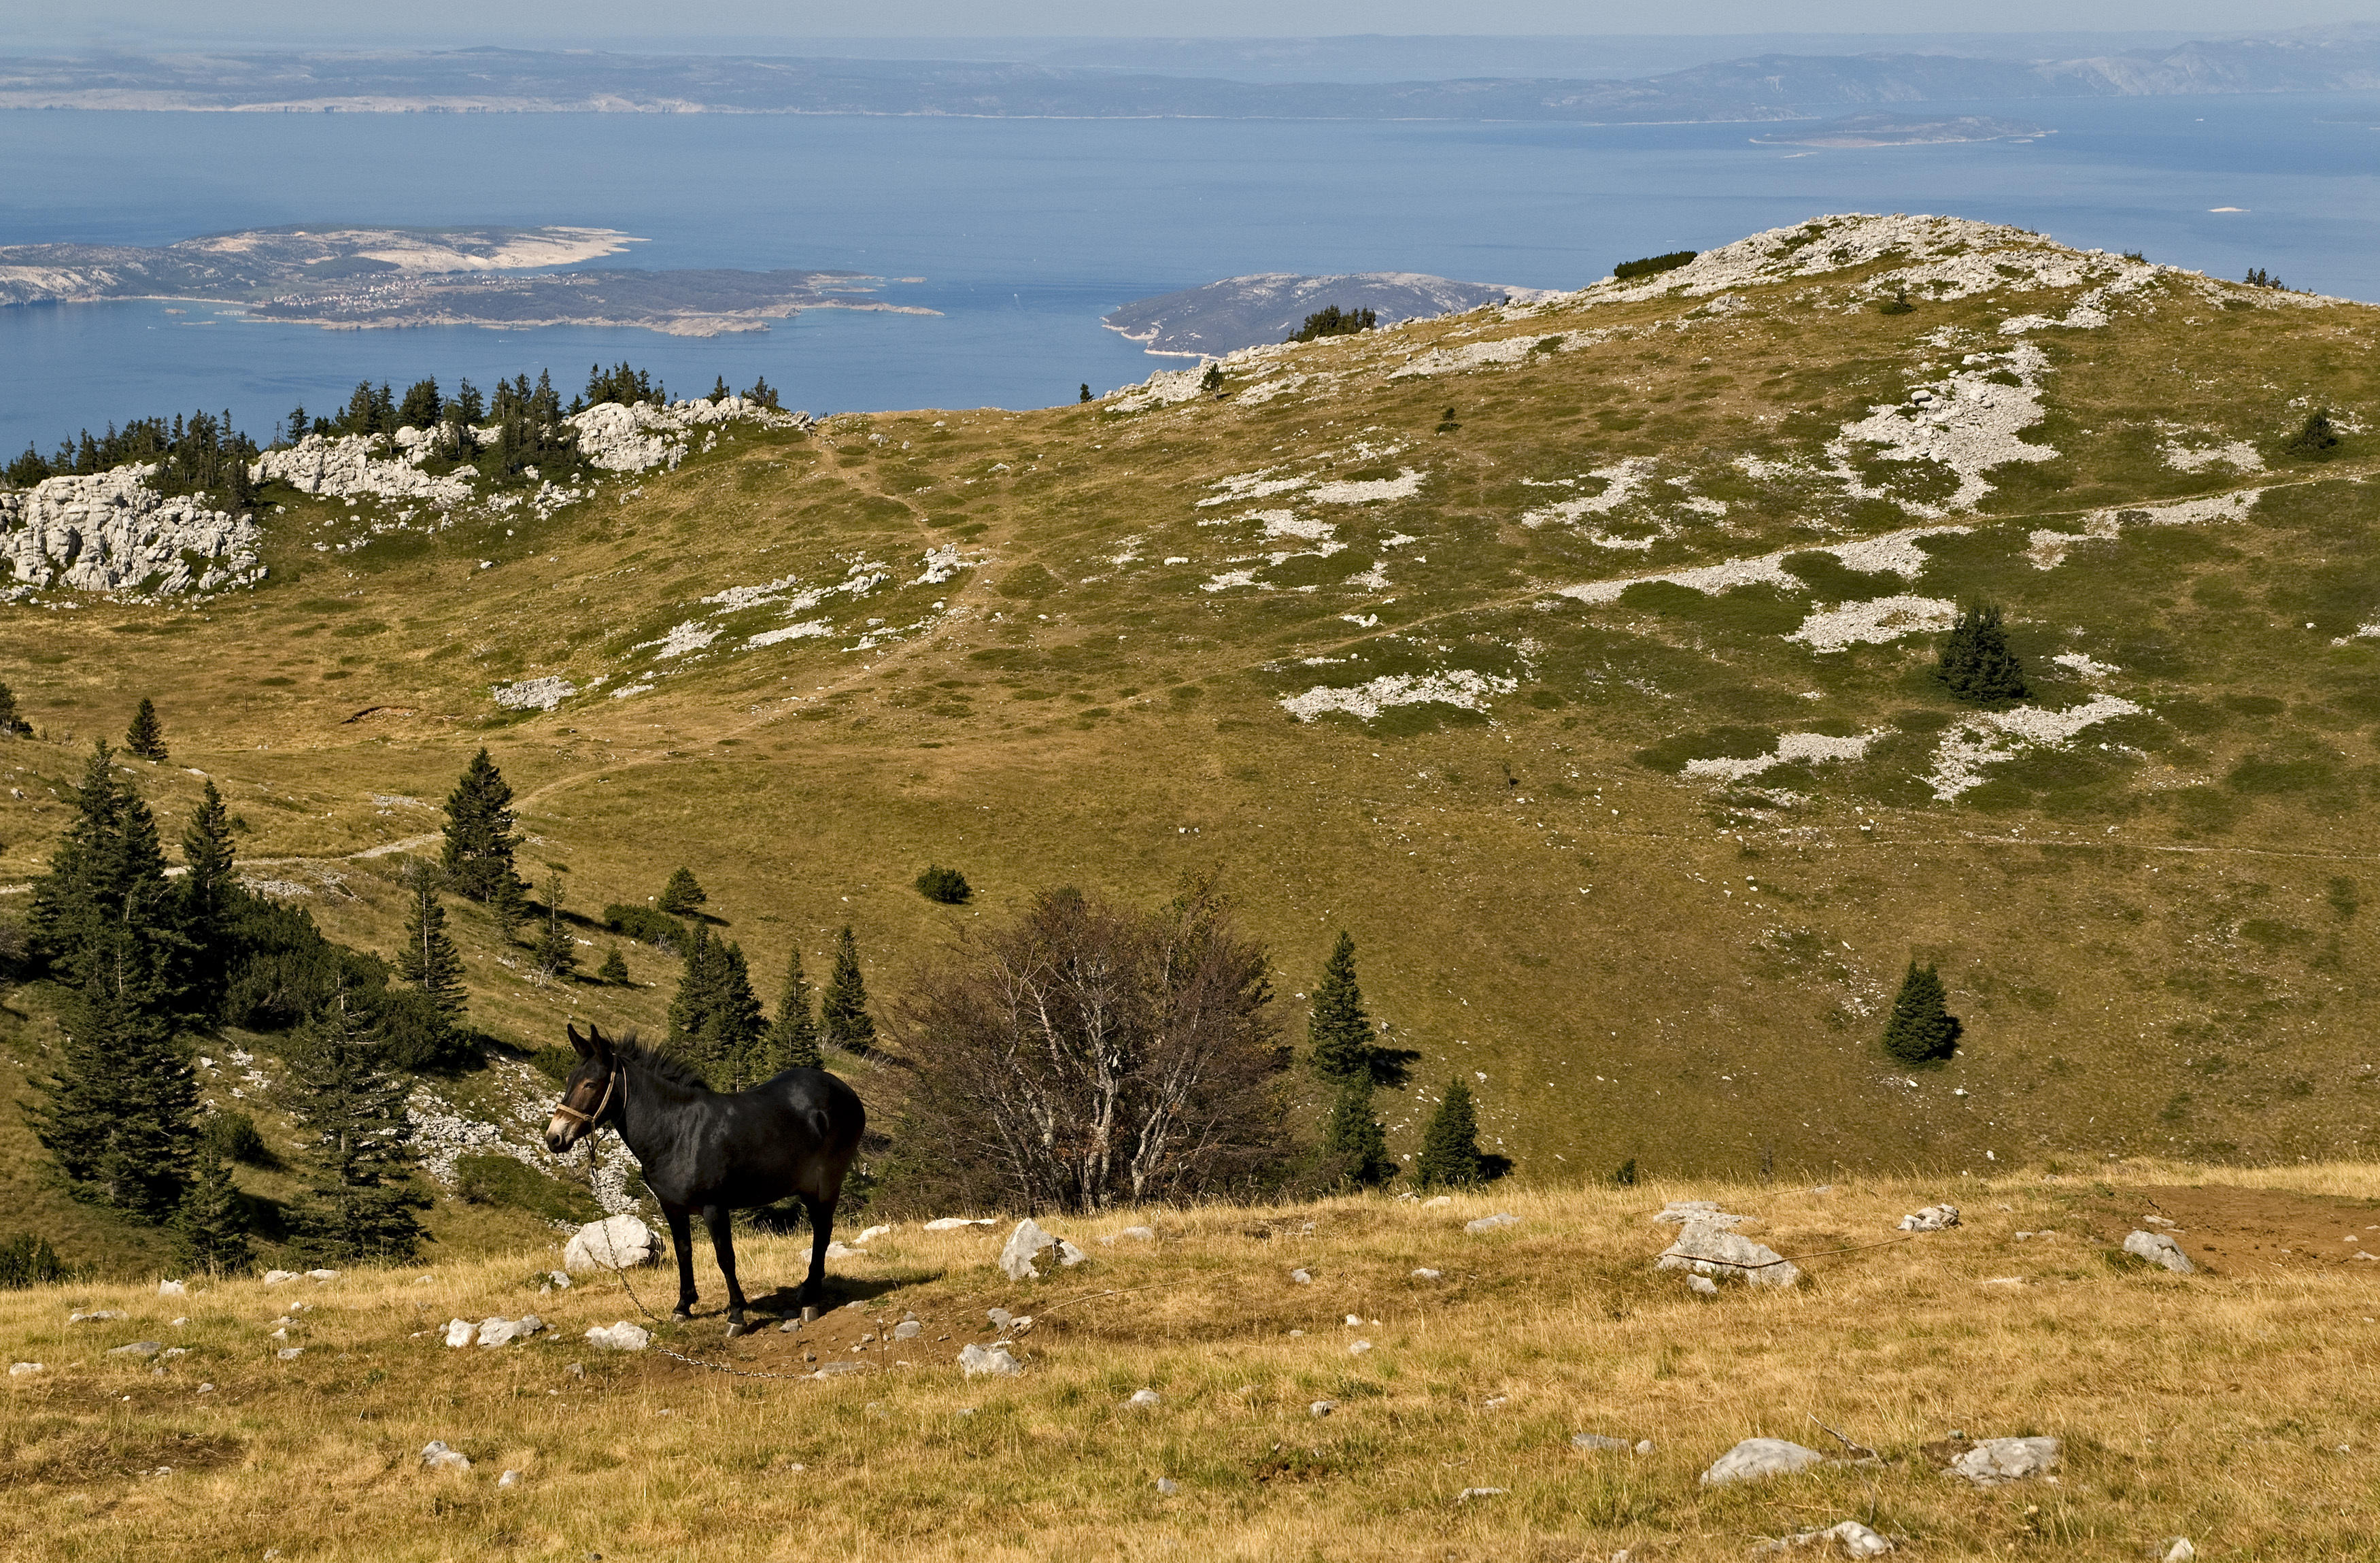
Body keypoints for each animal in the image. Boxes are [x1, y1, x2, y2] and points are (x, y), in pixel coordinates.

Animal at [545, 1018, 871, 1322]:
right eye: (569, 1079)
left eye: (590, 1084)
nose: (554, 1138)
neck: (677, 1132)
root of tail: (847, 1092)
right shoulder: (672, 1207)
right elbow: (684, 1251)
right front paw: (683, 1306)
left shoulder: (715, 1207)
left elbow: (725, 1257)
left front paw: (737, 1313)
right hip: (807, 1188)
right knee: (819, 1232)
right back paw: (806, 1290)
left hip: (827, 1184)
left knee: (823, 1233)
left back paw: (811, 1300)